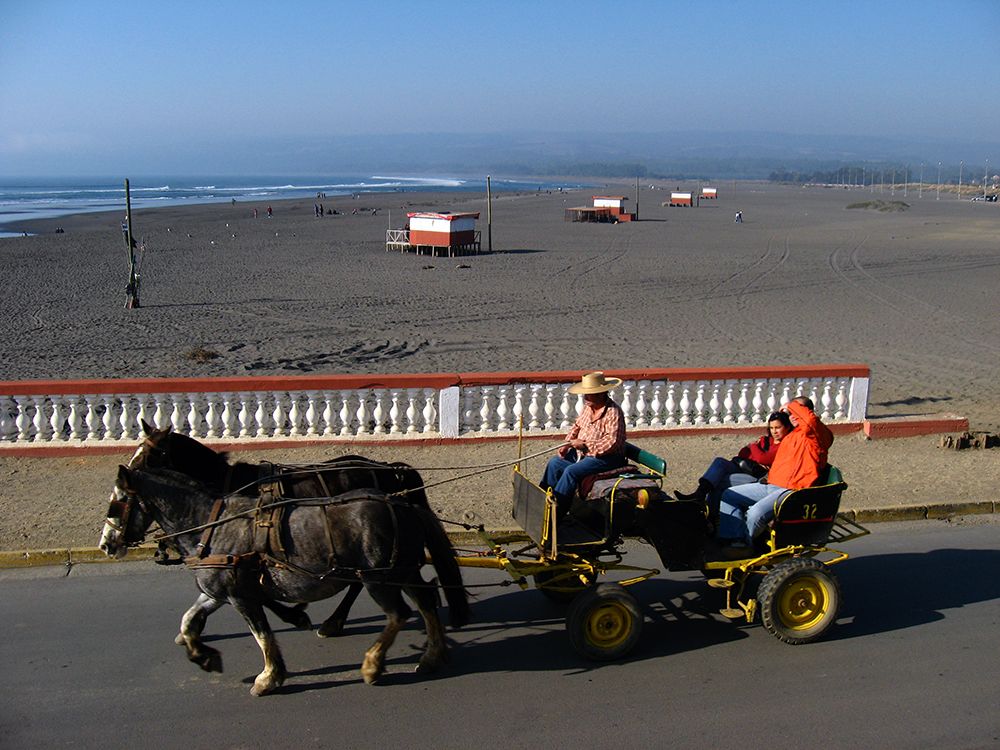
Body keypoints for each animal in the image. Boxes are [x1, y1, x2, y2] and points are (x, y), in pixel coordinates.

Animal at [101, 468, 468, 696]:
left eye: (117, 502)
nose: (107, 545)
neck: (212, 525)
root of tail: (402, 502)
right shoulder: (216, 592)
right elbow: (190, 621)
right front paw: (204, 656)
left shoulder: (241, 596)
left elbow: (262, 635)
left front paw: (269, 678)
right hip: (402, 571)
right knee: (427, 602)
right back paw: (431, 656)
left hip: (380, 578)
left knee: (399, 614)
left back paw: (372, 665)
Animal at [120, 424, 430, 640]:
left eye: (149, 455)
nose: (126, 476)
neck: (228, 485)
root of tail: (391, 470)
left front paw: (295, 616)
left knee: (358, 582)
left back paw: (334, 622)